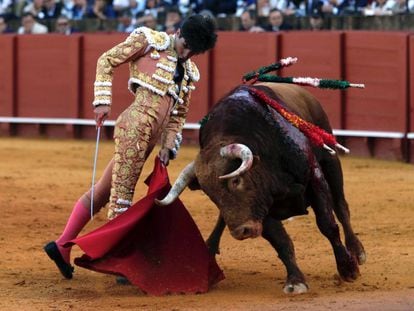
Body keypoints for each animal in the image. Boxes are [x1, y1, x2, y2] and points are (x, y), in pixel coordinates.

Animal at [157, 81, 368, 294]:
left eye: (236, 180)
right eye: (209, 193)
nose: (241, 231)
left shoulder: (314, 178)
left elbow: (327, 224)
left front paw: (348, 269)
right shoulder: (259, 208)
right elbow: (281, 242)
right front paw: (295, 280)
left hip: (331, 161)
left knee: (341, 207)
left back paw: (357, 251)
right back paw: (210, 249)